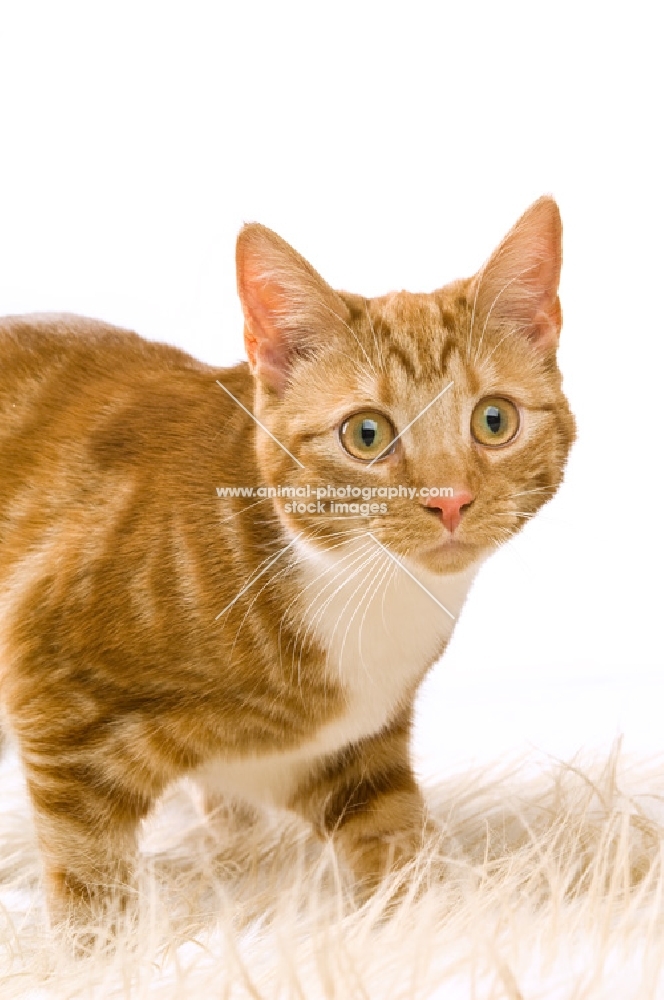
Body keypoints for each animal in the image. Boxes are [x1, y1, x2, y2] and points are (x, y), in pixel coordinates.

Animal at [0, 197, 576, 928]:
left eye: (494, 420)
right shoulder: (50, 688)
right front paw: (97, 947)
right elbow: (87, 872)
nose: (450, 501)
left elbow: (397, 839)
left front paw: (425, 923)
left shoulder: (348, 752)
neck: (364, 590)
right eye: (367, 434)